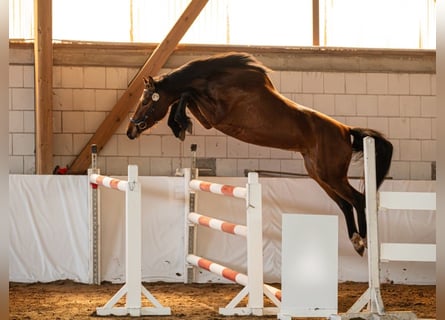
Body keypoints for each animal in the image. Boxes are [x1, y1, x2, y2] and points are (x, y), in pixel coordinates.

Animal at [125, 53, 392, 258]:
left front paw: (179, 124)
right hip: (319, 175)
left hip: (331, 175)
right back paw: (356, 241)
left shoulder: (216, 117)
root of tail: (346, 131)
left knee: (357, 199)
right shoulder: (210, 118)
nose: (130, 131)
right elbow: (185, 96)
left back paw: (363, 240)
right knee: (345, 204)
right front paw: (179, 124)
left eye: (146, 101)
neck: (215, 80)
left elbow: (185, 95)